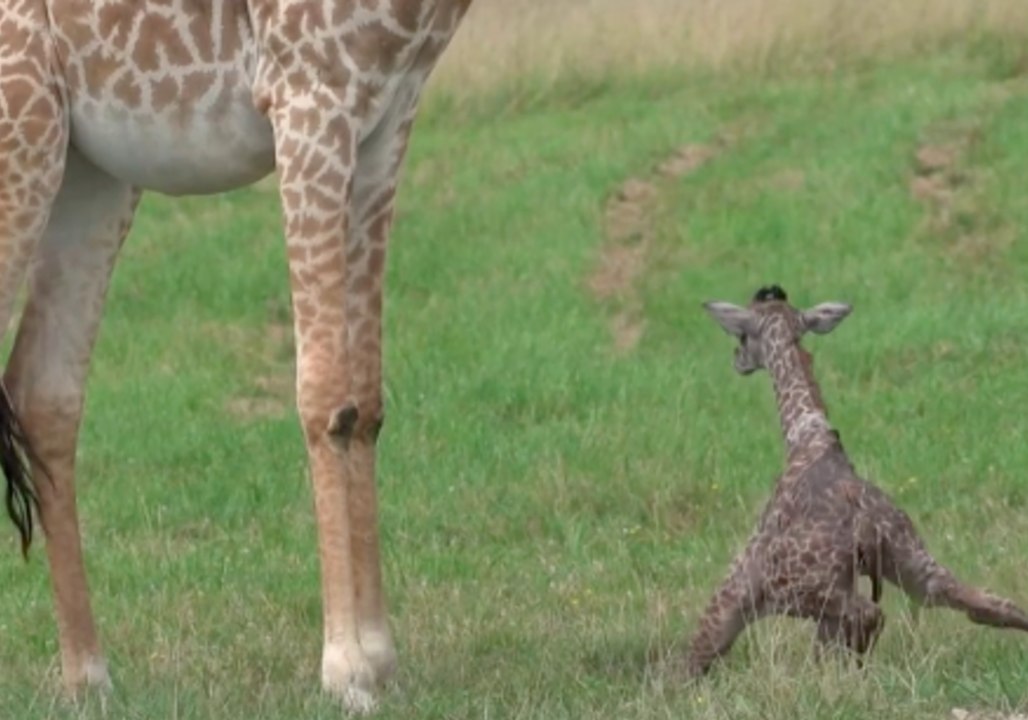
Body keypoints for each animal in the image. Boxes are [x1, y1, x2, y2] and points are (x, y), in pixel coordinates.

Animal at [0, 0, 471, 712]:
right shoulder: (308, 96)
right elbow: (325, 394)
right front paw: (345, 670)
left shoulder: (386, 119)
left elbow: (364, 398)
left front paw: (380, 657)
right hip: (22, 133)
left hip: (86, 167)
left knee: (44, 390)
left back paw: (88, 674)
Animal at [683, 285, 1028, 678]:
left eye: (742, 333)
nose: (737, 361)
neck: (806, 436)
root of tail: (864, 521)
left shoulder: (743, 581)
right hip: (916, 565)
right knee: (990, 604)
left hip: (790, 591)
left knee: (869, 614)